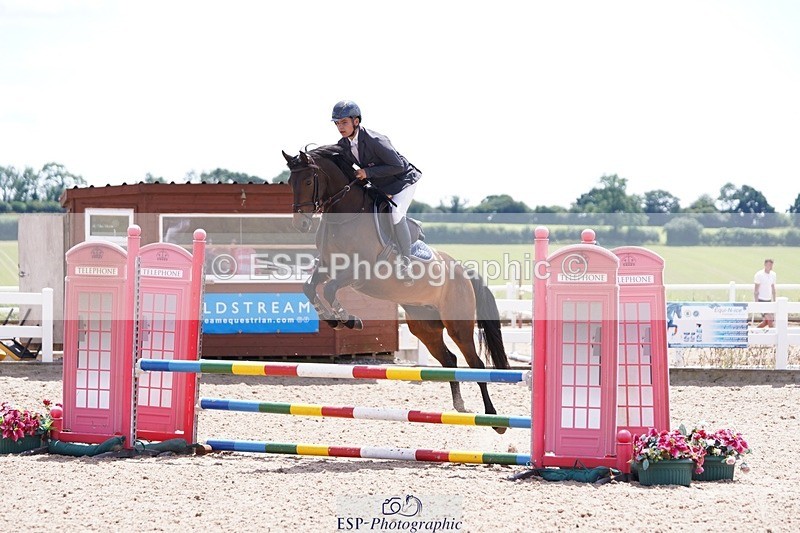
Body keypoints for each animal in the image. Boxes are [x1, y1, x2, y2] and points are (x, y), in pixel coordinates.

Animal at [281, 145, 511, 432]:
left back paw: (494, 418)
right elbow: (310, 288)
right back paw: (459, 405)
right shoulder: (326, 266)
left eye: (308, 181)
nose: (300, 223)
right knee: (450, 360)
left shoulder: (361, 271)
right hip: (423, 325)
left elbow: (331, 289)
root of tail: (464, 272)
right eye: (290, 182)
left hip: (458, 325)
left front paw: (348, 319)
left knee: (476, 363)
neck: (343, 218)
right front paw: (334, 319)